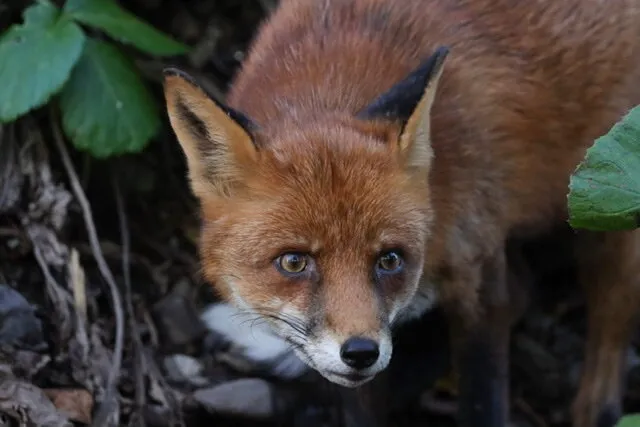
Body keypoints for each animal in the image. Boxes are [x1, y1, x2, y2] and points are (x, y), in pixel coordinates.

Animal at [162, 0, 640, 426]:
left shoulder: (478, 269)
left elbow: (483, 400)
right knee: (525, 287)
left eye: (389, 259)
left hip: (608, 209)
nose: (360, 353)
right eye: (294, 262)